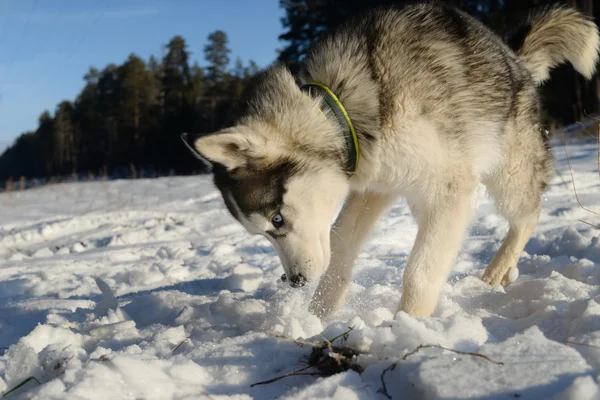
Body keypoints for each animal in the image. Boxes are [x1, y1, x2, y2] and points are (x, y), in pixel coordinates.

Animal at [183, 3, 600, 318]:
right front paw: (318, 318)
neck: (344, 109)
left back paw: (498, 269)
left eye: (277, 220)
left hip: (506, 173)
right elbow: (341, 246)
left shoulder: (450, 190)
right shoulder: (375, 187)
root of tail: (514, 56)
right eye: (265, 231)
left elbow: (420, 272)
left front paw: (408, 326)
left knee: (527, 215)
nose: (295, 281)